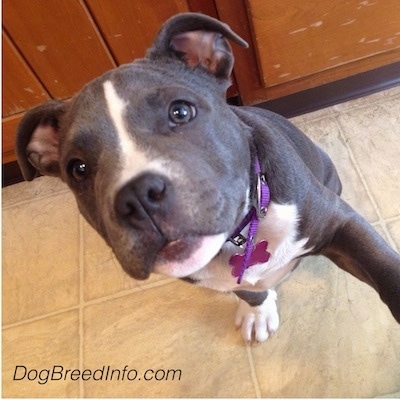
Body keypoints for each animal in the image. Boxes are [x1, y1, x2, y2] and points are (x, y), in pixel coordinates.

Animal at [15, 14, 400, 342]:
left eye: (181, 111)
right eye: (78, 168)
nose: (137, 195)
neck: (241, 234)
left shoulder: (340, 222)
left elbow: (383, 266)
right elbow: (249, 290)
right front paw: (257, 311)